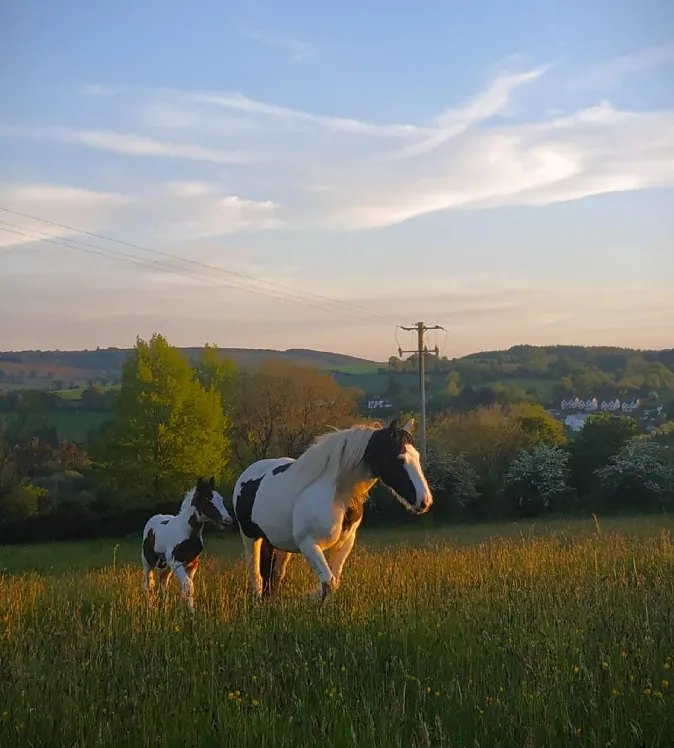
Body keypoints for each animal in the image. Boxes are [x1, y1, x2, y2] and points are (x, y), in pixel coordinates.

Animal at [141, 476, 233, 611]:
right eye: (207, 500)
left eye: (220, 499)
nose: (227, 521)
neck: (187, 532)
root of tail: (152, 519)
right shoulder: (177, 562)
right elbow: (188, 585)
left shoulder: (192, 565)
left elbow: (188, 587)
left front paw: (189, 611)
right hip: (149, 562)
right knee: (148, 584)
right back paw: (150, 609)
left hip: (167, 565)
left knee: (163, 580)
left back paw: (165, 607)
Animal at [231, 418, 433, 603]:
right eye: (400, 459)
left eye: (417, 456)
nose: (425, 501)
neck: (335, 495)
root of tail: (248, 474)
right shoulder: (309, 545)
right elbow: (328, 582)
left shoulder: (344, 544)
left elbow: (333, 582)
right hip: (250, 538)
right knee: (256, 578)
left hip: (279, 545)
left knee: (275, 576)